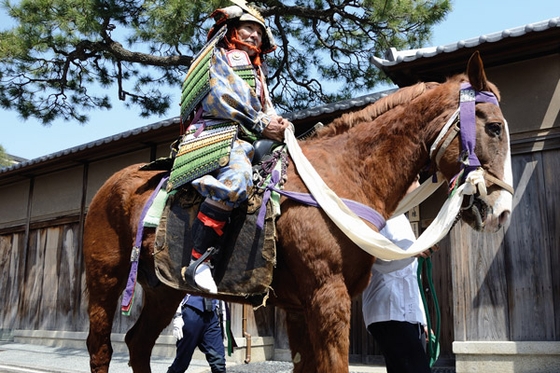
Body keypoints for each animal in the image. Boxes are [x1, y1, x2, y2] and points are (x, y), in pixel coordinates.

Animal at [83, 51, 512, 372]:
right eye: (493, 128)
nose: (502, 210)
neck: (346, 174)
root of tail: (110, 185)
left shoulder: (302, 305)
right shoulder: (327, 293)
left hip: (163, 288)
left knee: (138, 344)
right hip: (106, 277)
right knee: (101, 346)